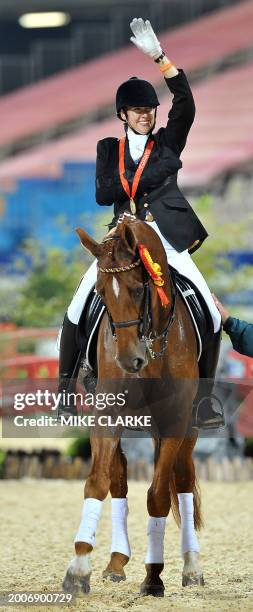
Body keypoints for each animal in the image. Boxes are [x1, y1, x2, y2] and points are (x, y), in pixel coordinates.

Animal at [62, 215, 204, 596]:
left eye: (140, 289)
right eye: (99, 293)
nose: (130, 361)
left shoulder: (174, 420)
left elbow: (157, 496)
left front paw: (153, 577)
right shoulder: (107, 414)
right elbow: (97, 482)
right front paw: (78, 568)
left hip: (189, 428)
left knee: (182, 481)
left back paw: (192, 567)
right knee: (119, 478)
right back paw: (116, 562)